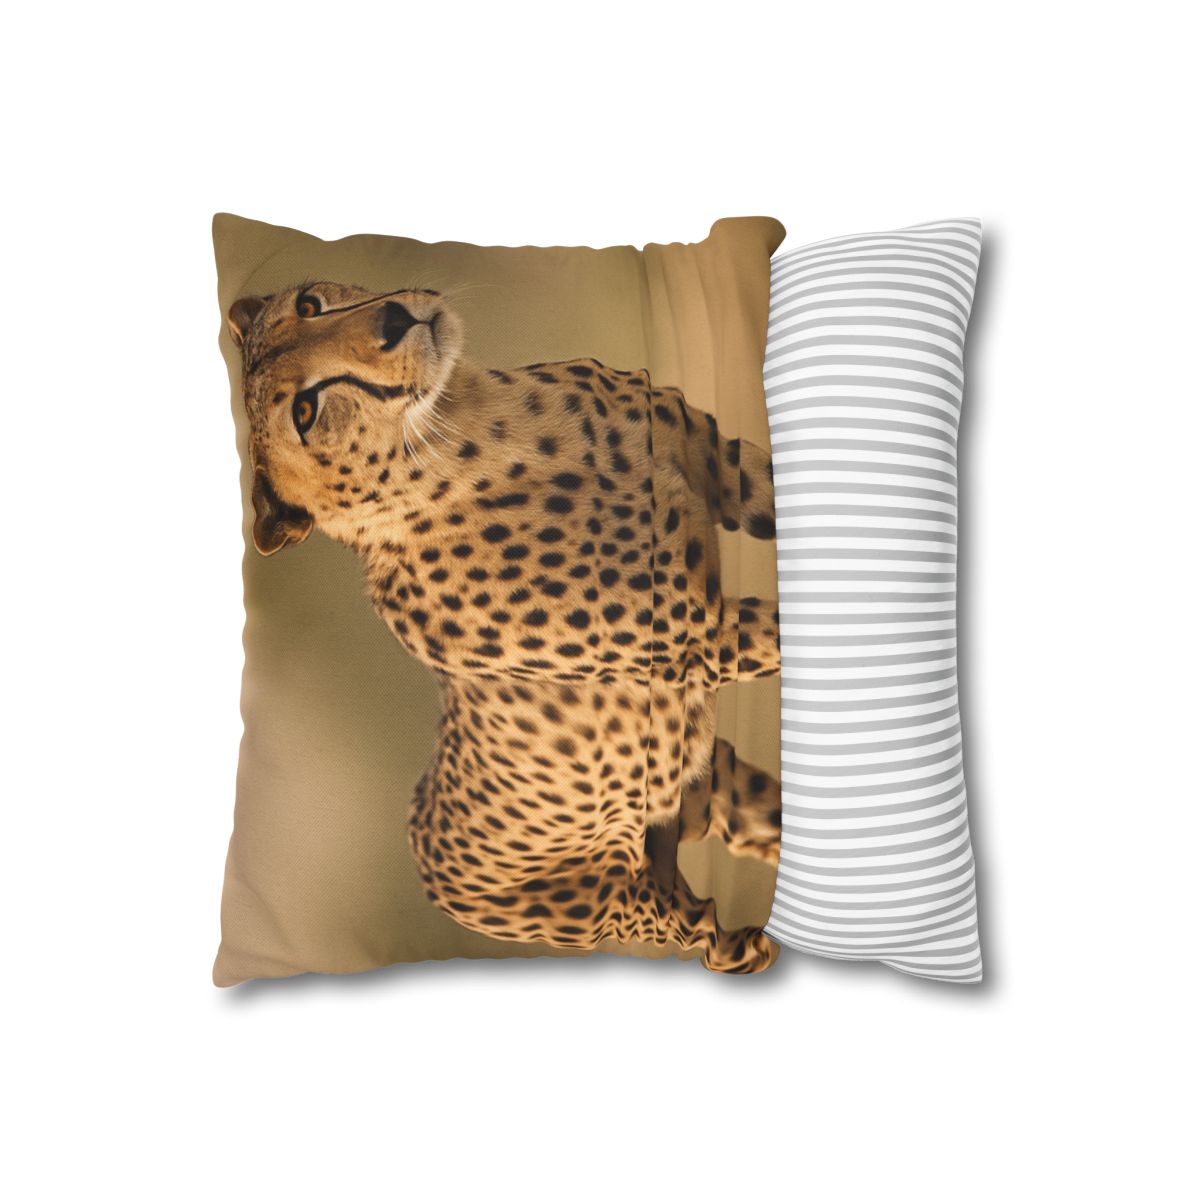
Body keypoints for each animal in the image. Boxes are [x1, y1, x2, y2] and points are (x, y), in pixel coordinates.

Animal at [228, 281, 783, 972]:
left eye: (309, 303)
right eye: (305, 412)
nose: (395, 320)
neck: (469, 423)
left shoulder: (718, 462)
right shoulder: (704, 637)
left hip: (700, 782)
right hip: (637, 902)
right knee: (709, 937)